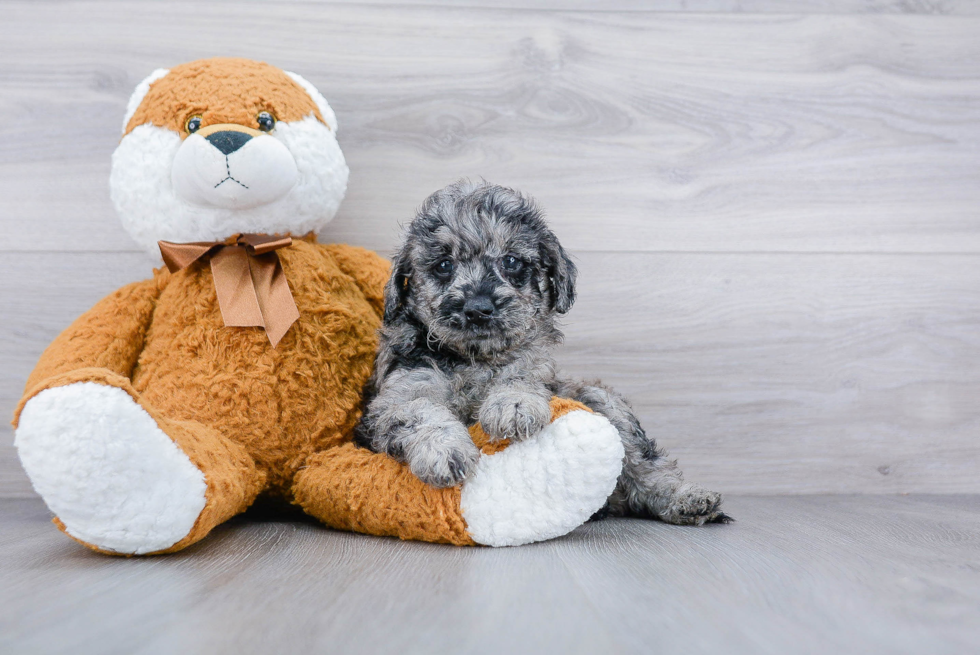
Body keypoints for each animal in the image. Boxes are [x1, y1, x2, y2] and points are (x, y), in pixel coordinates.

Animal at [352, 181, 728, 528]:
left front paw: (512, 406)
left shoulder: (534, 367)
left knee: (643, 463)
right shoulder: (396, 395)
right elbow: (419, 412)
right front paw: (445, 451)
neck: (474, 359)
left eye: (511, 261)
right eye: (444, 265)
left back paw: (687, 499)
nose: (478, 308)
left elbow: (520, 376)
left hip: (601, 400)